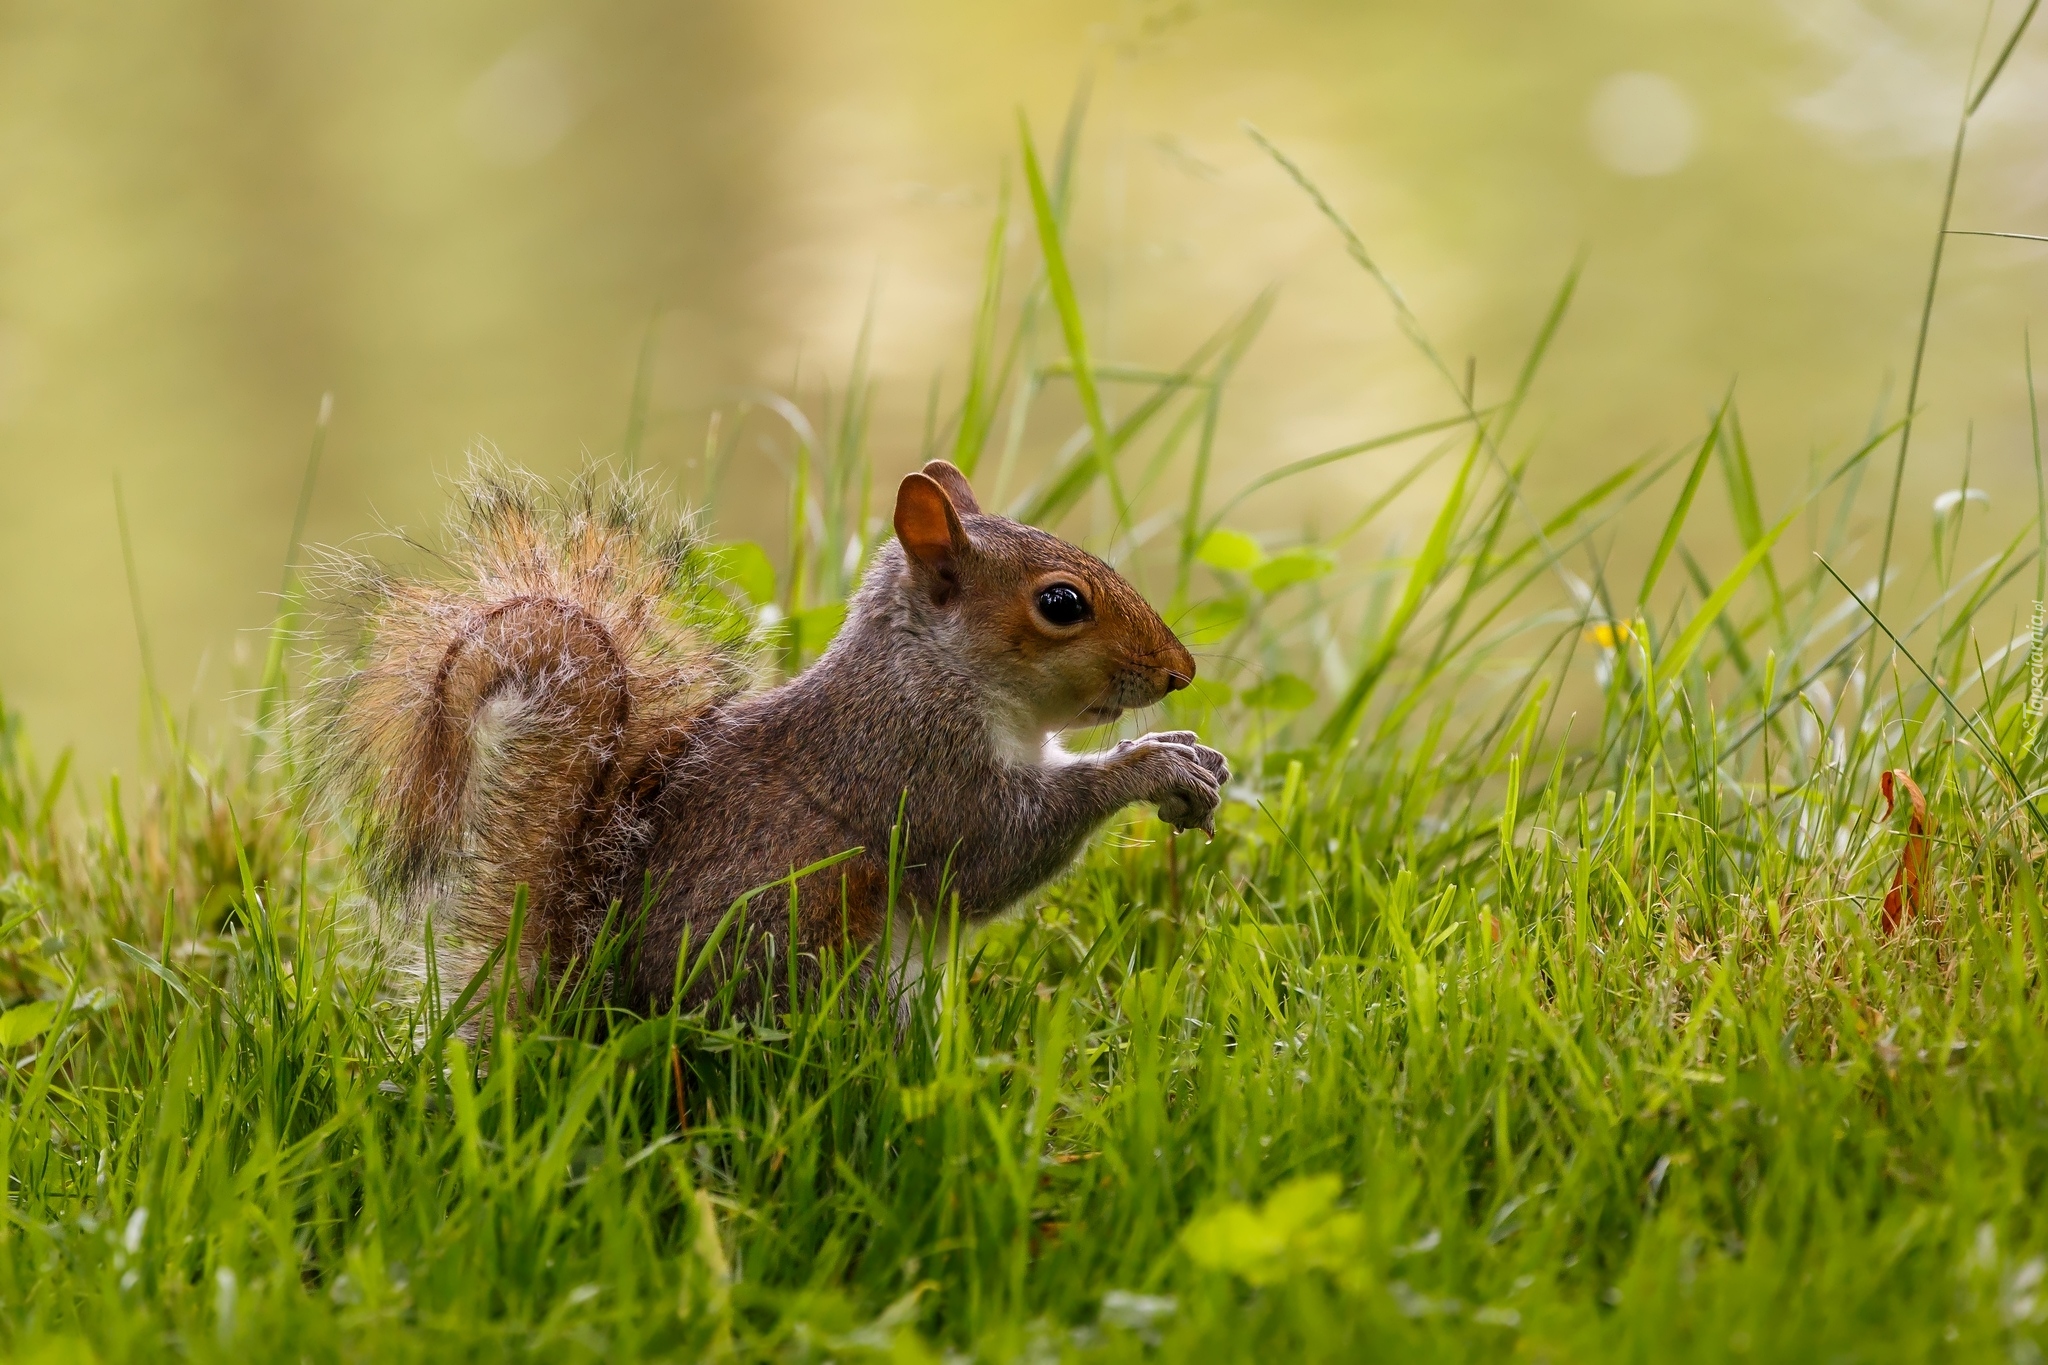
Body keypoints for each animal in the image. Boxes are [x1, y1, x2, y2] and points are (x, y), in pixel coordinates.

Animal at [311, 458, 1220, 1015]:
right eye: (1062, 603)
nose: (1181, 670)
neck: (934, 671)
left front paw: (1189, 751)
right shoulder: (910, 770)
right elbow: (997, 852)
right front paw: (1147, 766)